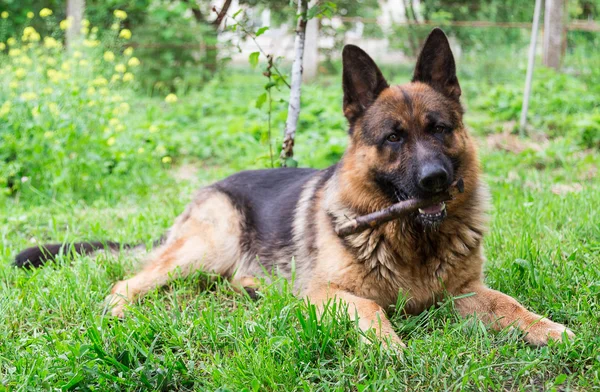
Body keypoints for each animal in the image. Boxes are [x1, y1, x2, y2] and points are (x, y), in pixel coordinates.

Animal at [16, 29, 576, 348]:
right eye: (394, 138)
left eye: (439, 129)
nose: (435, 181)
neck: (410, 240)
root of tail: (212, 185)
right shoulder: (327, 292)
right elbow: (371, 307)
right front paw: (388, 344)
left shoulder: (463, 294)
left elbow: (509, 304)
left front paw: (549, 329)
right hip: (208, 247)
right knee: (126, 282)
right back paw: (118, 313)